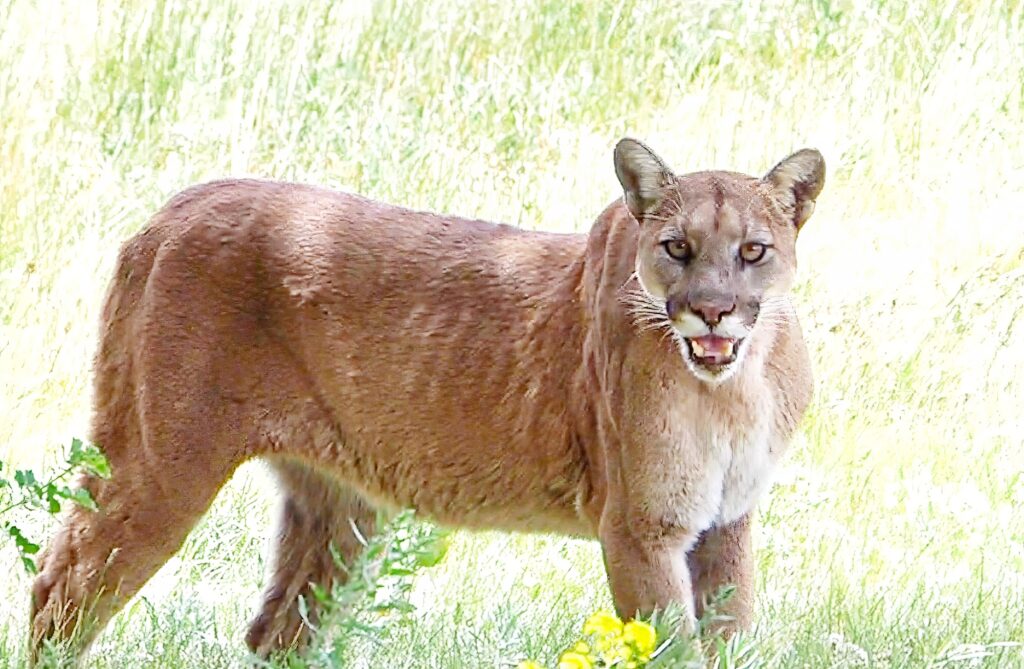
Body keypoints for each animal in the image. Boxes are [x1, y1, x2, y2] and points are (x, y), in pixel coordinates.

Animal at [29, 138, 824, 662]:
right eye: (676, 247)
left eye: (753, 251)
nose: (712, 312)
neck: (734, 389)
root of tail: (175, 205)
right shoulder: (641, 529)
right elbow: (671, 648)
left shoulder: (727, 523)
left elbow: (728, 641)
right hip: (161, 464)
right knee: (62, 587)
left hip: (342, 511)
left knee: (275, 631)